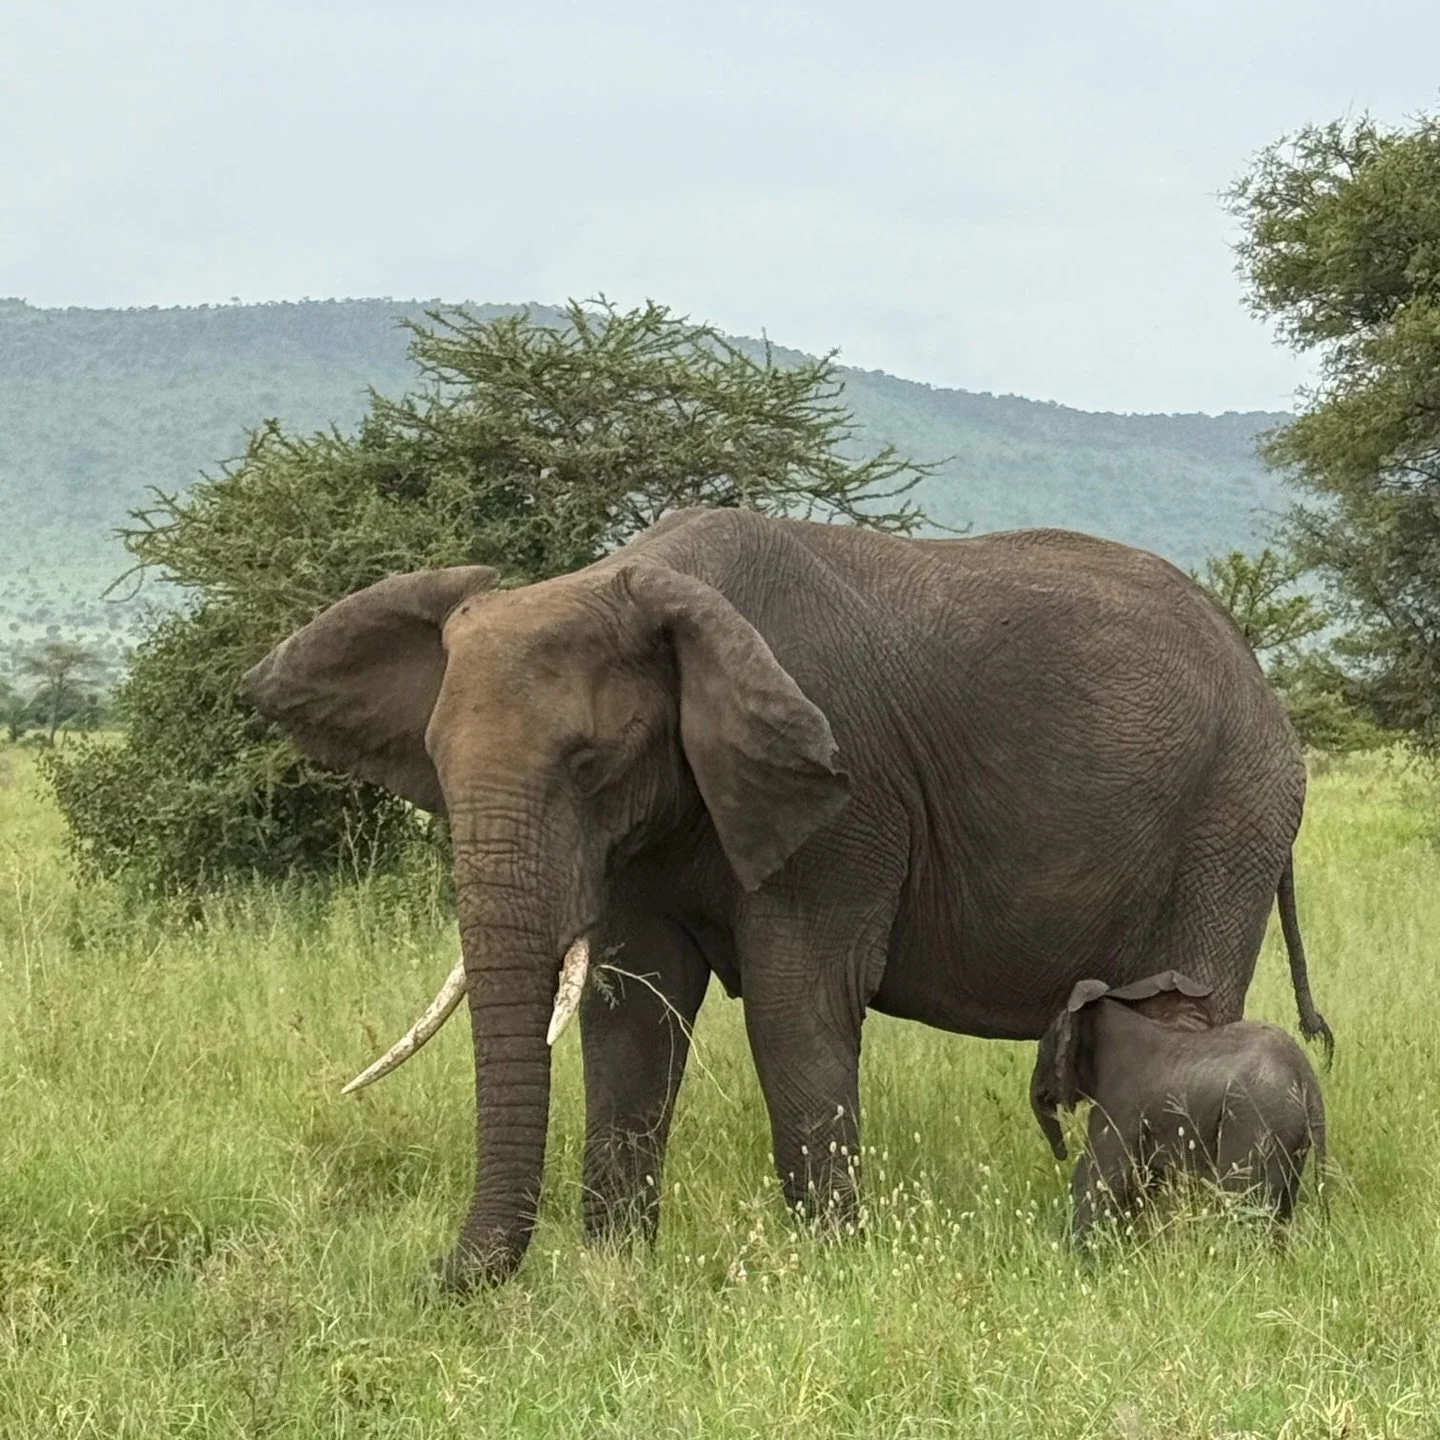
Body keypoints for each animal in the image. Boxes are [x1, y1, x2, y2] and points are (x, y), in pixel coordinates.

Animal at [1029, 971, 1327, 1242]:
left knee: (1241, 1197)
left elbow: (1100, 1173)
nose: (1061, 1152)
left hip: (1257, 1120)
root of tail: (1307, 1078)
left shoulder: (1120, 1104)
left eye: (1043, 1047)